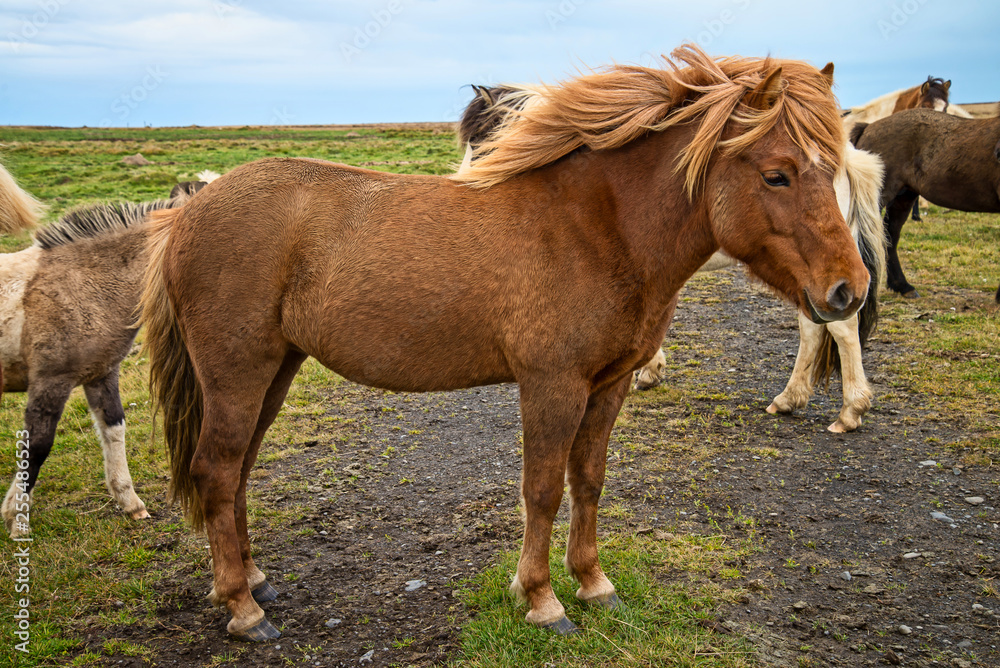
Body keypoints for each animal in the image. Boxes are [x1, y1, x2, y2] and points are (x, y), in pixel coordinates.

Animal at [0, 196, 195, 538]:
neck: (81, 285)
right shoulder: (51, 381)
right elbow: (37, 446)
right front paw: (17, 520)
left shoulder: (102, 374)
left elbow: (114, 428)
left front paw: (130, 502)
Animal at [458, 85, 886, 433]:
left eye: (481, 142)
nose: (467, 184)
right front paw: (649, 371)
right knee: (813, 328)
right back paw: (790, 398)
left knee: (842, 329)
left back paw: (850, 411)